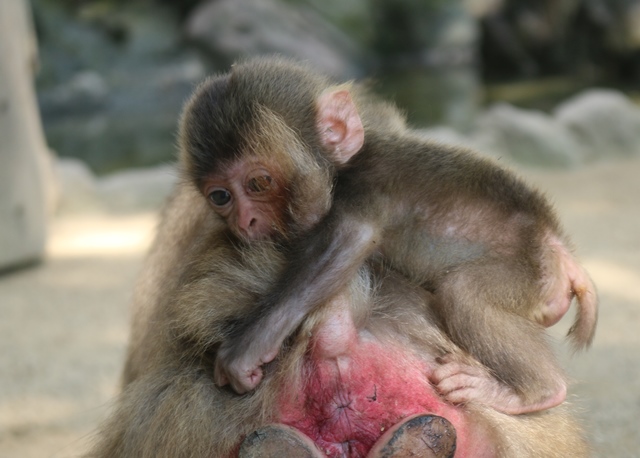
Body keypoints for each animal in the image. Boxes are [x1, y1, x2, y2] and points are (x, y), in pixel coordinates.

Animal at [178, 56, 596, 416]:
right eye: (221, 197)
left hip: (529, 274)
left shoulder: (359, 192)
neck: (342, 169)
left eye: (259, 182)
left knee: (463, 292)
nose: (244, 221)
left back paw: (535, 392)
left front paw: (247, 347)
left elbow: (345, 247)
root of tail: (557, 247)